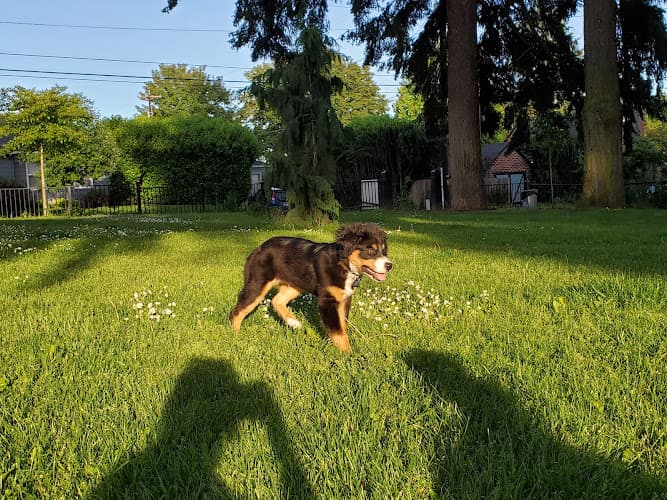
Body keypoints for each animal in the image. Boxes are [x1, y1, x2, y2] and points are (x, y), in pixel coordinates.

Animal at [232, 223, 394, 352]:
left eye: (383, 250)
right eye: (370, 250)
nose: (389, 265)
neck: (343, 265)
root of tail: (258, 248)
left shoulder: (344, 299)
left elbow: (342, 324)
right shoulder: (327, 301)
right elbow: (338, 331)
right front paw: (348, 355)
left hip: (294, 285)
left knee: (276, 300)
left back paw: (294, 323)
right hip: (257, 284)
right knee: (237, 311)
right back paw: (235, 336)